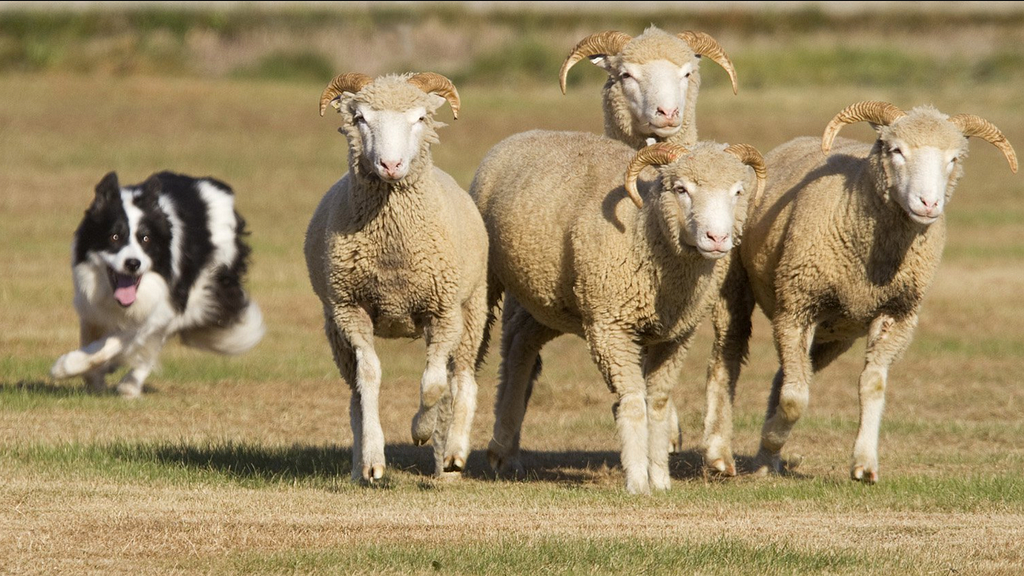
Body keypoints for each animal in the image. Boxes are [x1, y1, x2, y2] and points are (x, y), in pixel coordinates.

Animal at [304, 72, 489, 482]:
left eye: (419, 118)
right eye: (359, 118)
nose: (390, 164)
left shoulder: (444, 312)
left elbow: (434, 384)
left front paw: (421, 430)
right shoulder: (350, 311)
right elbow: (369, 378)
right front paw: (374, 459)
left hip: (472, 311)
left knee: (463, 379)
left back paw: (452, 456)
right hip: (334, 329)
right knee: (355, 396)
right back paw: (359, 468)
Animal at [471, 130, 765, 494]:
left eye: (738, 191)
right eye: (681, 189)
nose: (717, 238)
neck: (645, 229)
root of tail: (521, 135)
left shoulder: (676, 335)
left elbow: (658, 403)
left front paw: (661, 478)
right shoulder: (610, 326)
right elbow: (635, 403)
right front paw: (638, 481)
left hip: (548, 298)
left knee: (518, 351)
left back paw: (504, 452)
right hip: (487, 279)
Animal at [700, 101, 1018, 482]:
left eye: (954, 158)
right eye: (895, 150)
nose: (928, 204)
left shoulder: (897, 314)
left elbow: (870, 386)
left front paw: (864, 464)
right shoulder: (796, 306)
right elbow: (795, 399)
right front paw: (773, 436)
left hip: (834, 334)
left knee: (787, 375)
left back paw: (766, 461)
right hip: (735, 286)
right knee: (727, 360)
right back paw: (720, 454)